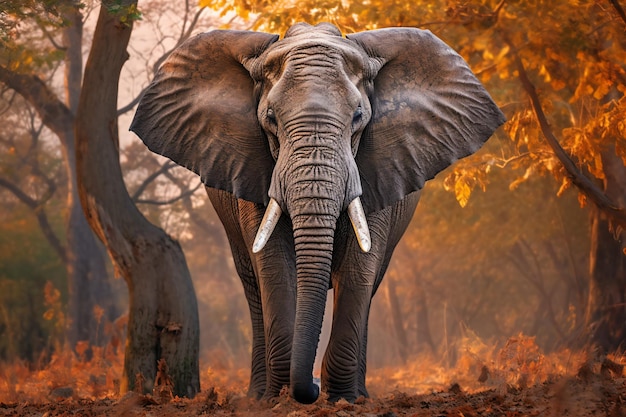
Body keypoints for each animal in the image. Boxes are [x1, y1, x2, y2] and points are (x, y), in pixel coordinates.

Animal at [130, 22, 502, 404]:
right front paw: (279, 399)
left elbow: (358, 269)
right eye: (270, 119)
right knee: (252, 284)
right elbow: (275, 266)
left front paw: (342, 400)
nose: (312, 387)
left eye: (358, 118)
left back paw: (359, 394)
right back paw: (259, 394)